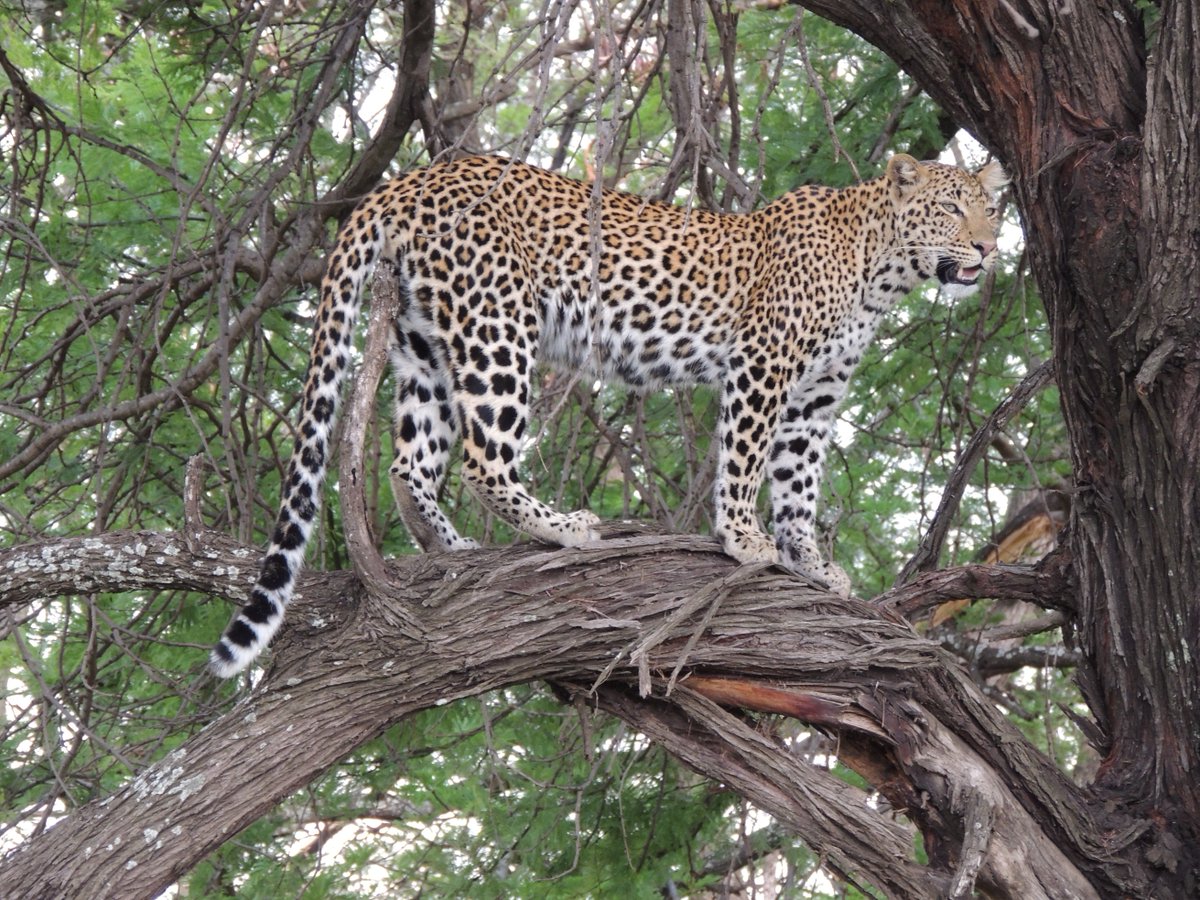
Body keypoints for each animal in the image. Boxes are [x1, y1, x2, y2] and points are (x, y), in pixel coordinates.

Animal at [210, 152, 1007, 677]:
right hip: (498, 325)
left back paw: (454, 550)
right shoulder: (764, 365)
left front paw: (810, 562)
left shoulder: (815, 396)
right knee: (481, 456)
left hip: (423, 342)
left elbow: (799, 486)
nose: (986, 248)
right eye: (948, 208)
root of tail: (413, 176)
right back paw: (563, 528)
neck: (882, 269)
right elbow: (745, 461)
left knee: (411, 462)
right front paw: (745, 539)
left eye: (990, 208)